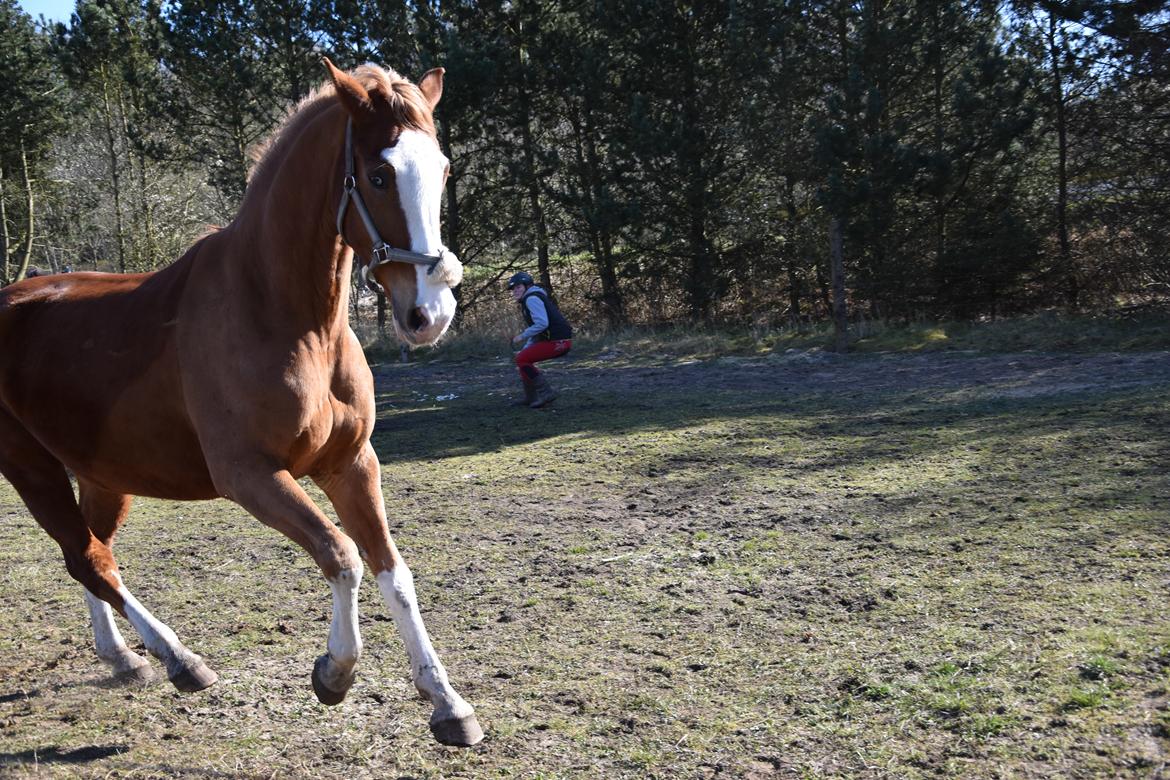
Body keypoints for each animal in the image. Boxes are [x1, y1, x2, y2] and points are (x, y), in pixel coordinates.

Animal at [0, 59, 479, 743]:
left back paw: (122, 657)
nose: (429, 313)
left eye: (441, 169)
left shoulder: (351, 465)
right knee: (90, 560)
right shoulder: (250, 475)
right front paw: (334, 673)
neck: (283, 315)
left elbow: (394, 573)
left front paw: (447, 702)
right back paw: (179, 659)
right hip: (30, 467)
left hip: (102, 475)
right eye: (379, 174)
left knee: (89, 554)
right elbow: (343, 557)